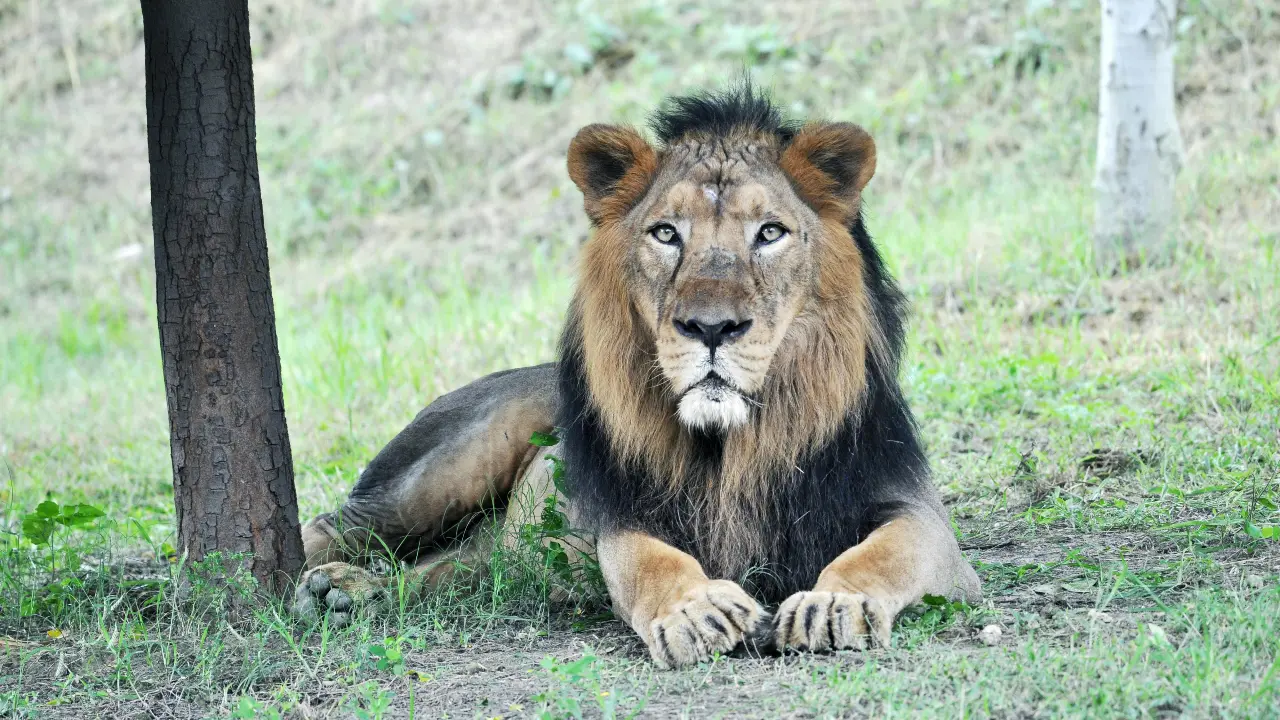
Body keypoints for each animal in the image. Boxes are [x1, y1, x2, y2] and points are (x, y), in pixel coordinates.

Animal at [293, 85, 982, 667]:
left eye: (770, 233)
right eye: (666, 233)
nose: (711, 327)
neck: (730, 445)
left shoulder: (915, 510)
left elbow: (886, 552)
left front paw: (833, 603)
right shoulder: (625, 514)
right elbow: (648, 562)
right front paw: (696, 610)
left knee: (457, 571)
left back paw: (352, 594)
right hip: (441, 471)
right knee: (334, 524)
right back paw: (310, 584)